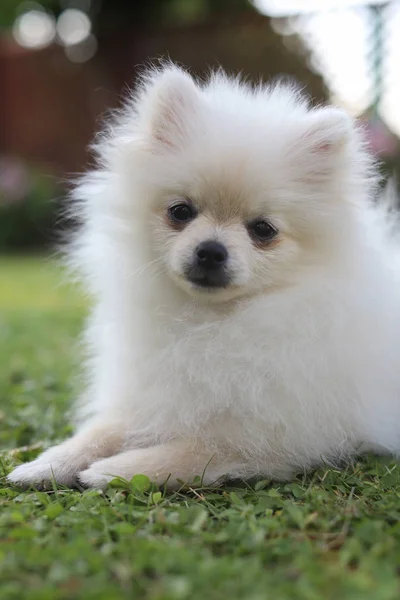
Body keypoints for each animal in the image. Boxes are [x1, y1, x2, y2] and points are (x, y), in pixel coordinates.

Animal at [7, 63, 400, 490]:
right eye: (180, 211)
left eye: (263, 230)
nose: (211, 250)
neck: (209, 321)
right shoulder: (152, 393)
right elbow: (103, 430)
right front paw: (48, 462)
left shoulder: (272, 437)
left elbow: (192, 451)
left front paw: (115, 470)